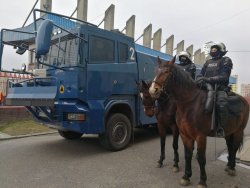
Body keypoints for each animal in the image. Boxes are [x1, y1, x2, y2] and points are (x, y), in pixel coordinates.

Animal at [149, 57, 249, 188]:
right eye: (156, 71)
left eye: (166, 72)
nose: (152, 90)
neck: (189, 104)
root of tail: (244, 100)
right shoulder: (184, 135)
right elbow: (187, 154)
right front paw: (186, 176)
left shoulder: (200, 136)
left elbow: (201, 158)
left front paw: (202, 181)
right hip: (229, 131)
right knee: (230, 146)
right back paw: (228, 165)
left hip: (238, 131)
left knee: (234, 147)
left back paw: (232, 168)